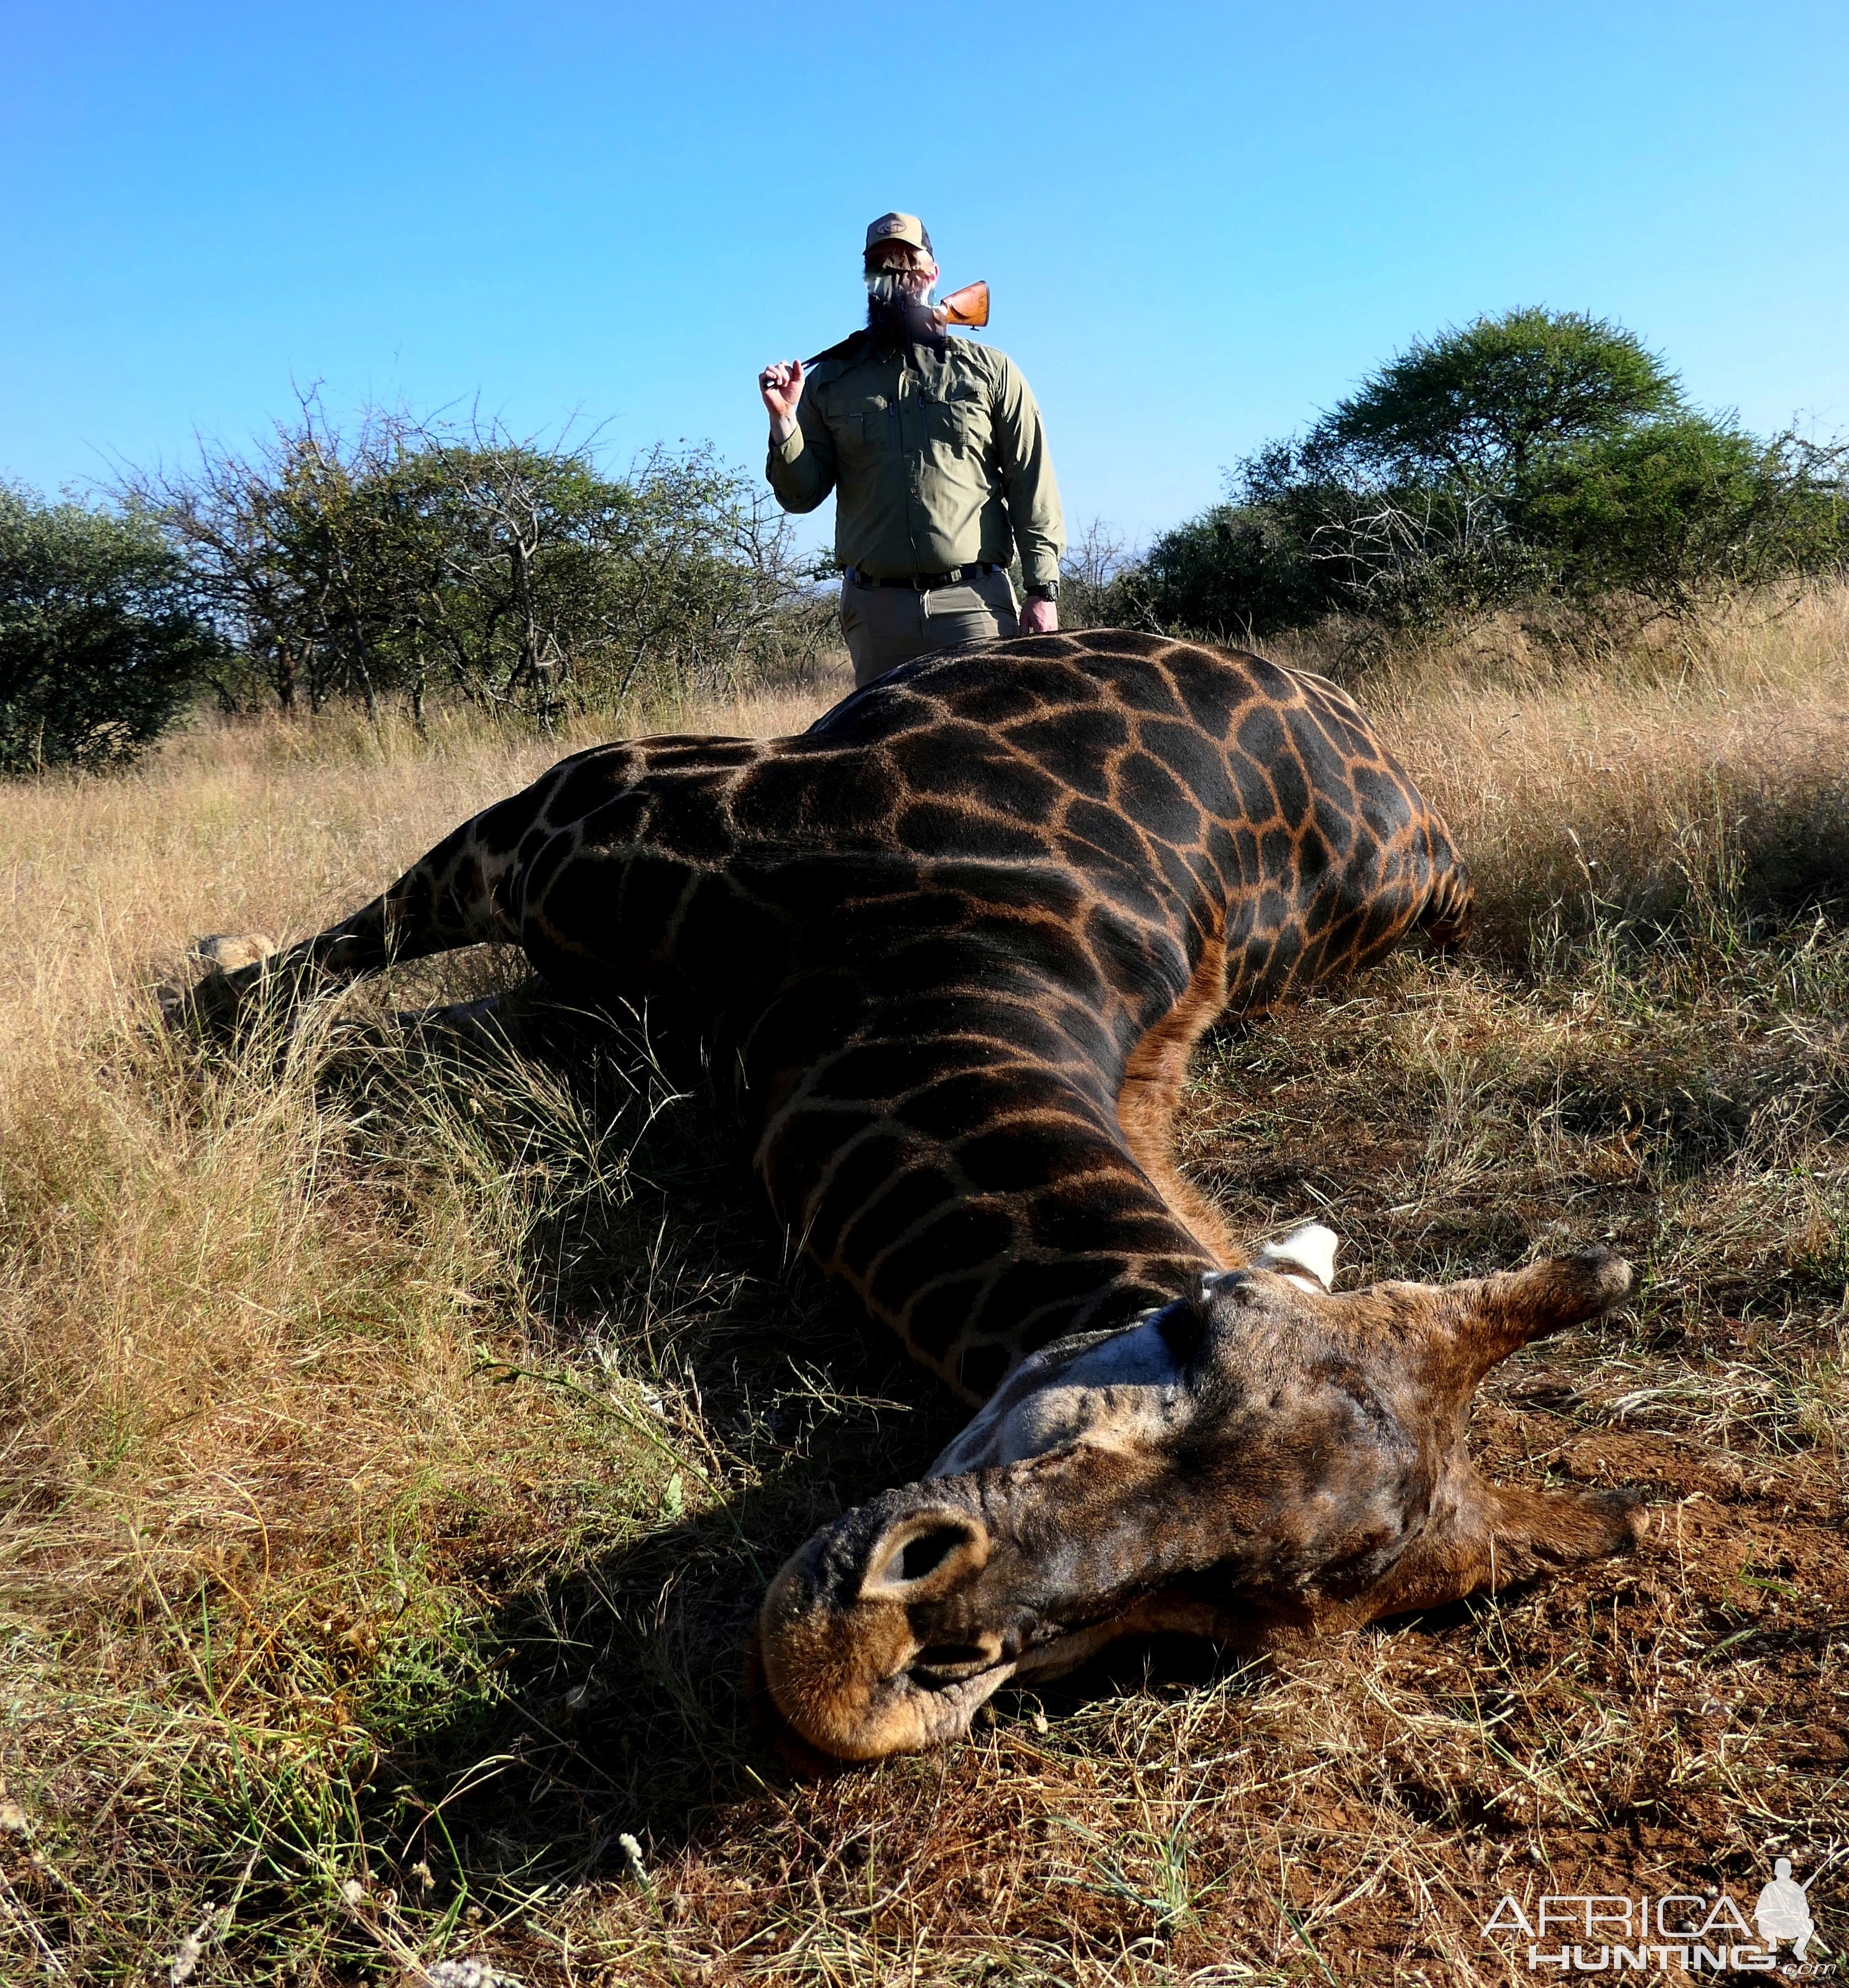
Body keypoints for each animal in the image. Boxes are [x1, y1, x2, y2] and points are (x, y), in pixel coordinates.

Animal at [173, 632, 1638, 1757]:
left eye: (1235, 1606)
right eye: (1185, 1329)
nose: (868, 1647)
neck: (896, 962)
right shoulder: (574, 813)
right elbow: (293, 989)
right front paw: (212, 968)